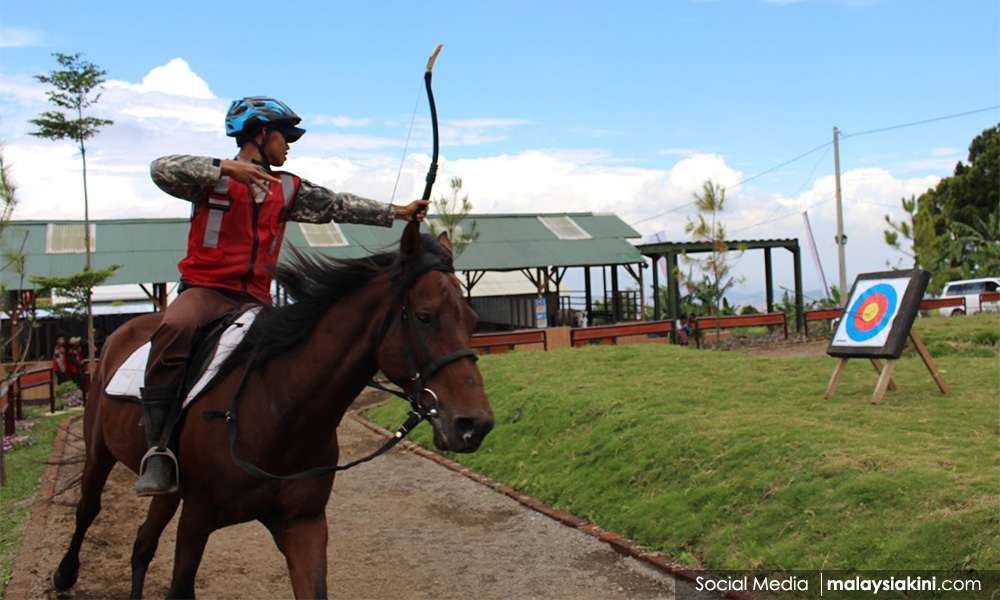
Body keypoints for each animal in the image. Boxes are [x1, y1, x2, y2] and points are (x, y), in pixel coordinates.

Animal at [50, 223, 496, 596]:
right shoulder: (197, 518)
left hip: (167, 489)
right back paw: (64, 573)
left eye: (472, 318)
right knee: (88, 509)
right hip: (99, 452)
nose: (475, 424)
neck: (279, 412)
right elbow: (179, 588)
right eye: (424, 317)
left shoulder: (303, 525)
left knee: (142, 543)